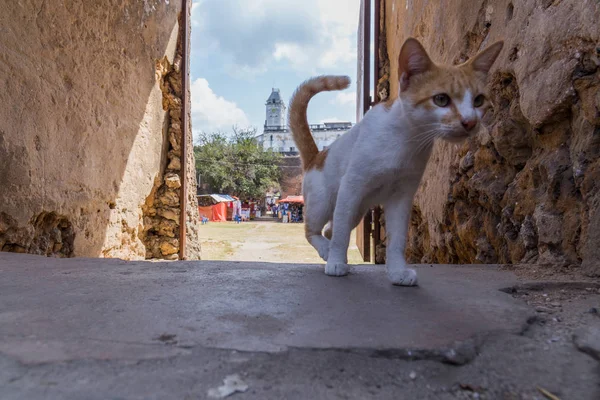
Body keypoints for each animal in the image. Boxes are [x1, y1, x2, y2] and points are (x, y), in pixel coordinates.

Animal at [288, 37, 504, 286]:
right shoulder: (351, 188)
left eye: (478, 100)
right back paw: (327, 250)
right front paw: (335, 263)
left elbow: (398, 238)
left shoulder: (401, 196)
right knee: (314, 230)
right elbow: (341, 233)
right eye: (441, 99)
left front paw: (397, 271)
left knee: (330, 229)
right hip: (324, 202)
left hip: (357, 209)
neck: (406, 140)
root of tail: (316, 156)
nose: (470, 122)